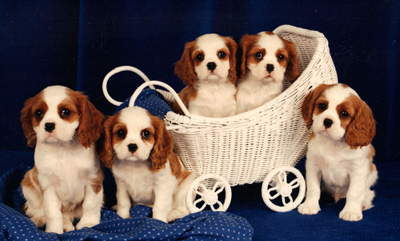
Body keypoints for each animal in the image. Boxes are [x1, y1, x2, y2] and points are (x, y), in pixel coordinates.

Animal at [20, 85, 104, 233]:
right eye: (38, 113)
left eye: (65, 112)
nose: (48, 125)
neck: (63, 149)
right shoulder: (48, 186)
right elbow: (52, 212)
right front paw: (53, 231)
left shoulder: (93, 179)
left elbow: (90, 204)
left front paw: (88, 223)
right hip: (28, 181)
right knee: (37, 209)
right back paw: (38, 220)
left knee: (67, 214)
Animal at [296, 84, 378, 221]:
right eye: (322, 106)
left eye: (344, 114)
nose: (327, 121)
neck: (332, 142)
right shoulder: (313, 165)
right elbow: (313, 188)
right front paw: (310, 205)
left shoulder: (358, 170)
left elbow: (354, 193)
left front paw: (351, 211)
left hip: (373, 173)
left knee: (369, 192)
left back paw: (364, 203)